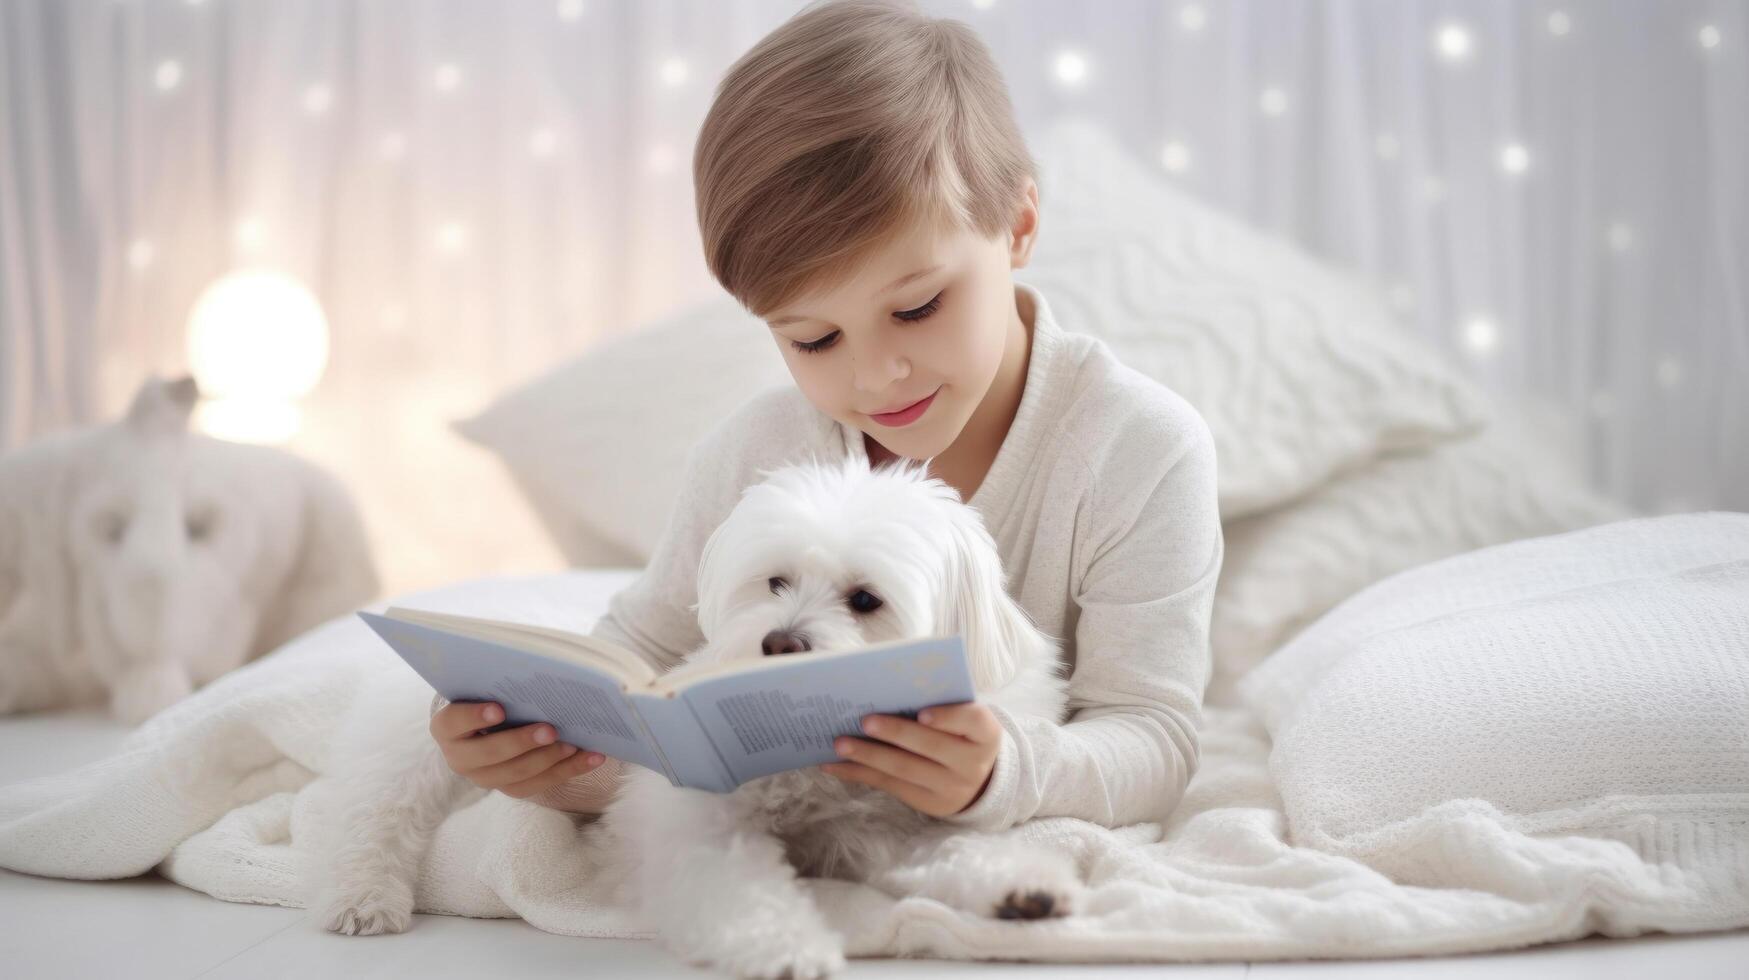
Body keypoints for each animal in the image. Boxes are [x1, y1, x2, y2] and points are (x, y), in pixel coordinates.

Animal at [316, 455, 1077, 973]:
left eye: (866, 600)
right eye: (775, 582)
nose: (780, 642)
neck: (820, 776)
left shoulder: (894, 821)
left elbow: (956, 849)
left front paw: (1021, 888)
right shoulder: (697, 824)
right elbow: (741, 890)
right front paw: (788, 948)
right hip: (417, 746)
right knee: (368, 812)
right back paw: (361, 899)